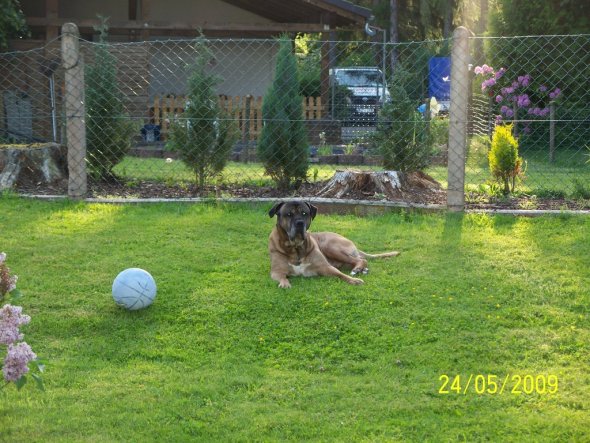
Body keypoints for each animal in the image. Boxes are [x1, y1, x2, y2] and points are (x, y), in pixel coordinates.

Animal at [270, 203, 402, 290]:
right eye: (288, 214)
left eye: (304, 213)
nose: (299, 223)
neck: (296, 247)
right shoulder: (276, 271)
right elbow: (282, 276)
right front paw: (285, 284)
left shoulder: (325, 267)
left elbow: (340, 274)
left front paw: (354, 280)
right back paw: (361, 269)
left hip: (330, 246)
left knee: (360, 259)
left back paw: (357, 269)